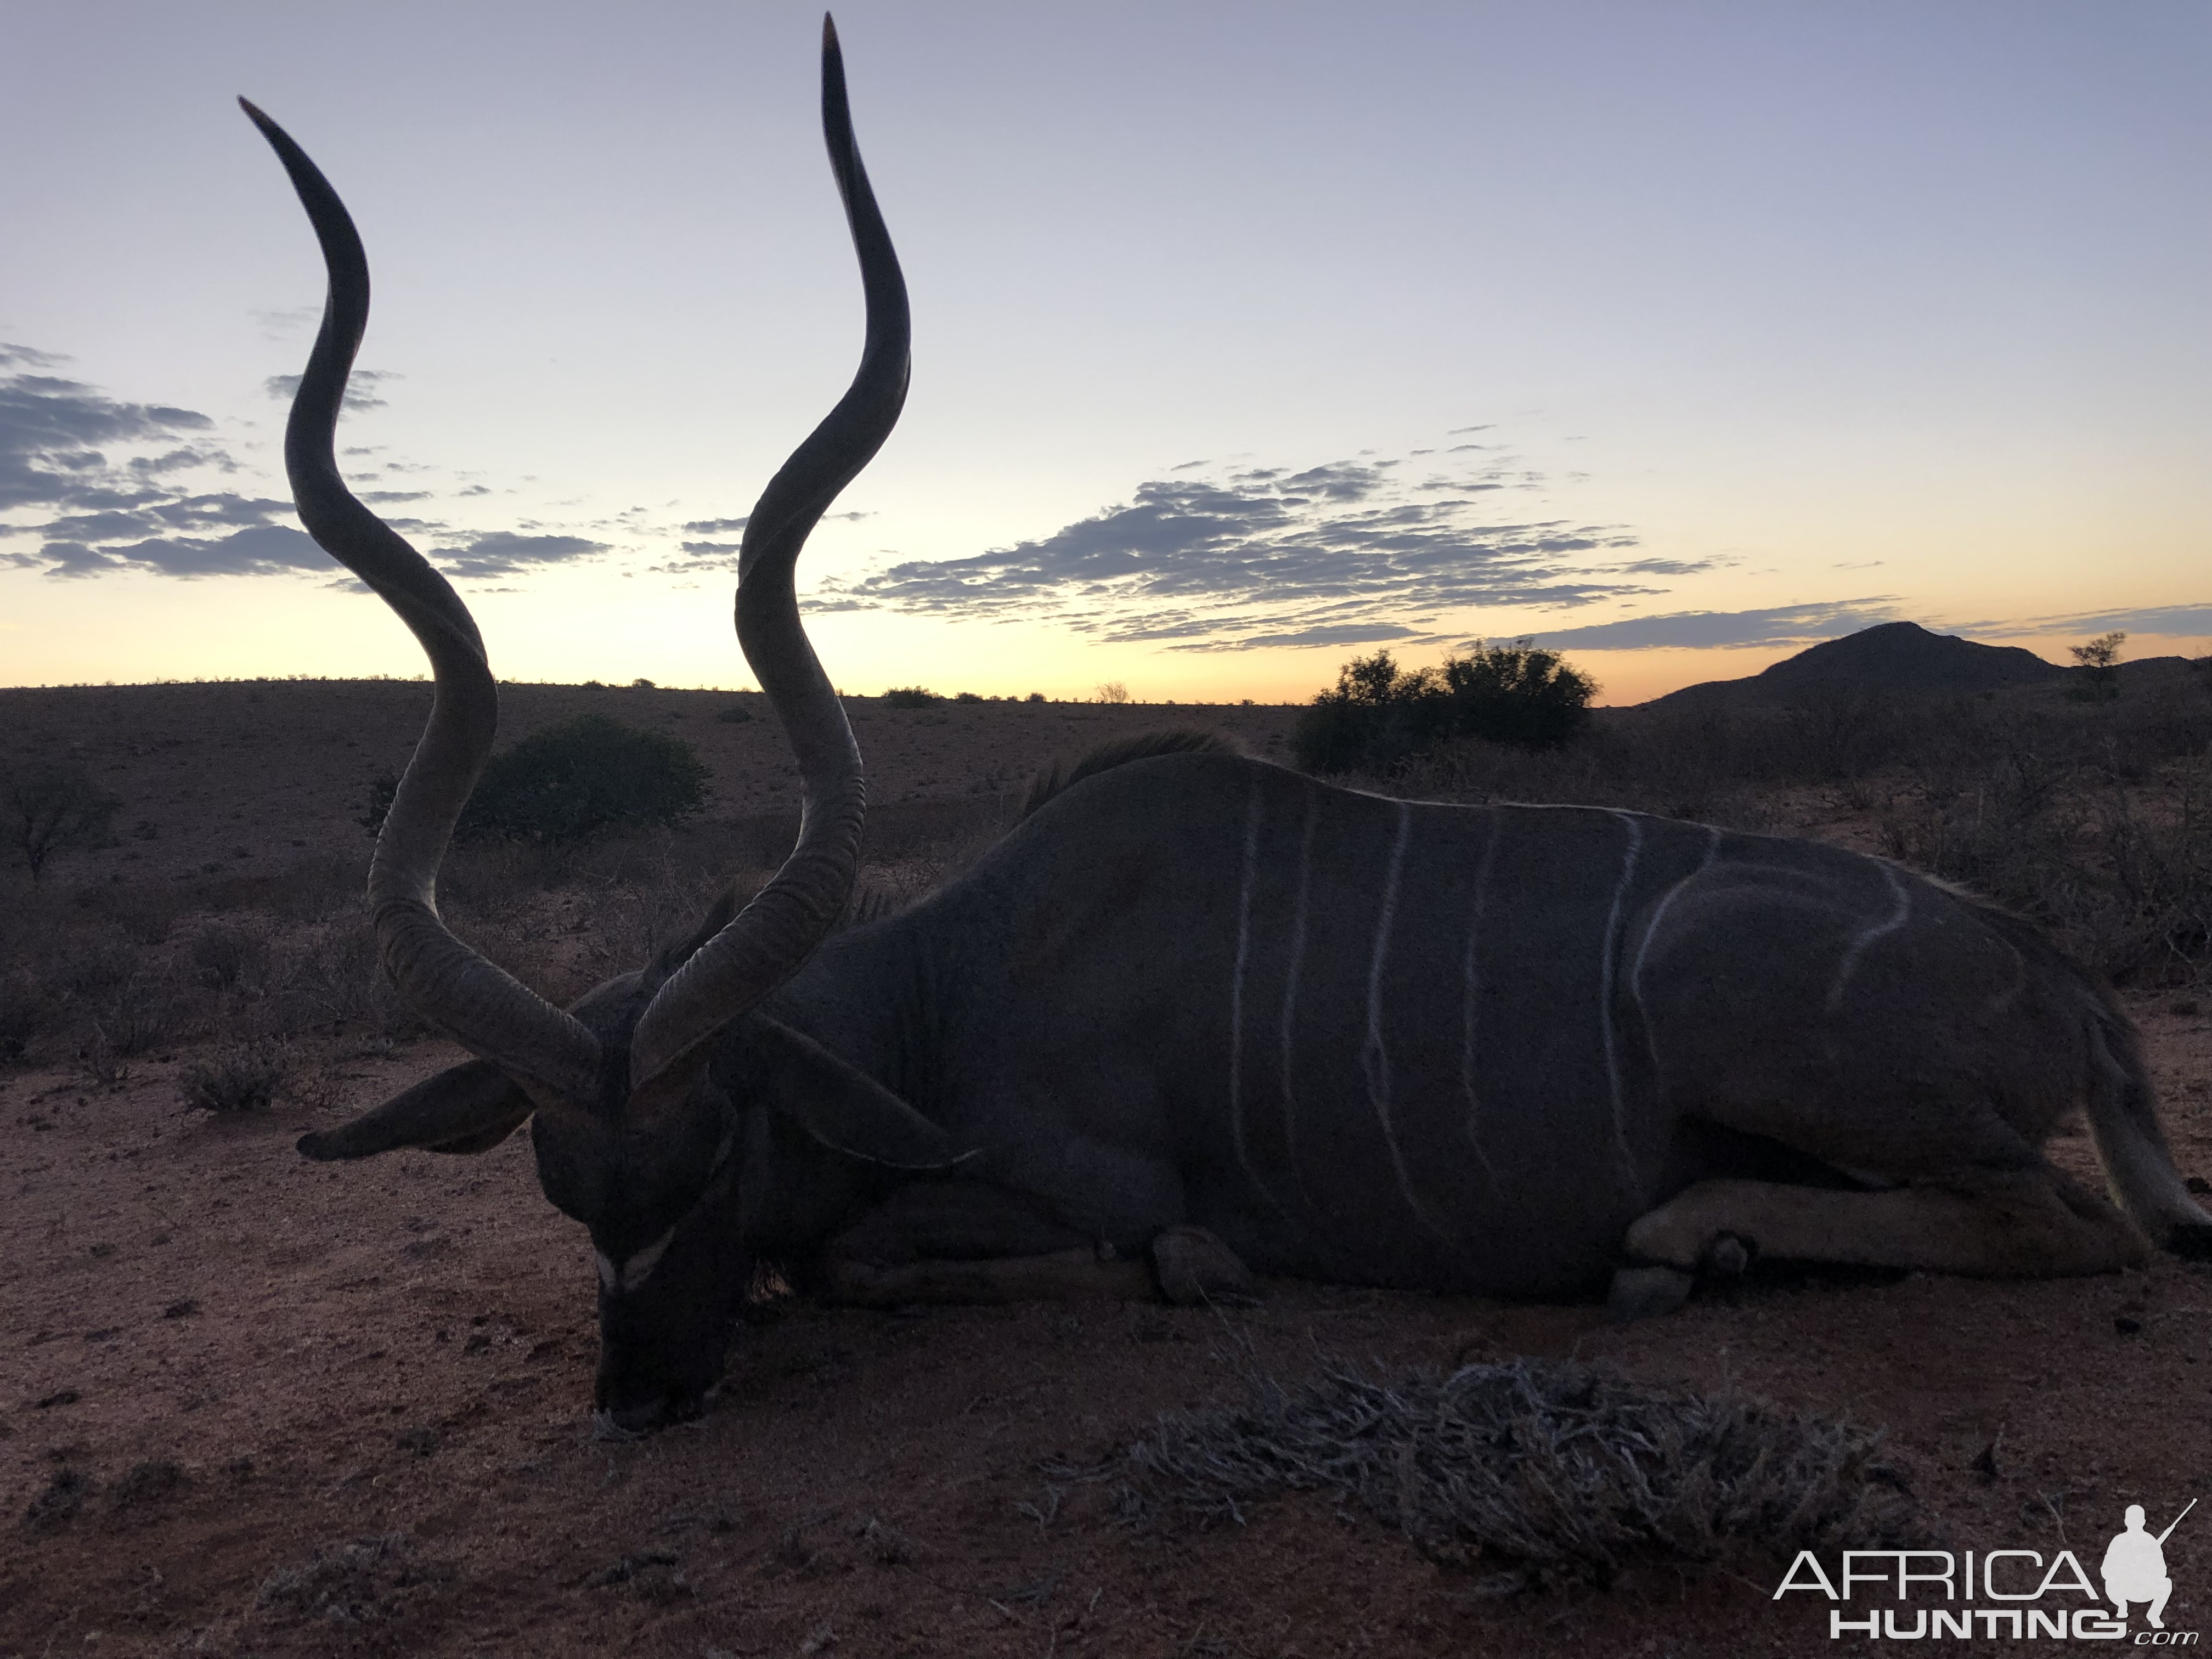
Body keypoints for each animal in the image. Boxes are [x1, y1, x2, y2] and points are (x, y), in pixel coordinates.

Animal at [246, 19, 2212, 1433]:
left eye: (716, 1146)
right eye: (557, 1184)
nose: (640, 1396)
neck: (943, 992)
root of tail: (2068, 988)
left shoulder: (1070, 1189)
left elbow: (912, 1265)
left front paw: (1192, 1269)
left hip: (1736, 1008)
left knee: (2061, 1225)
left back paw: (1681, 1242)